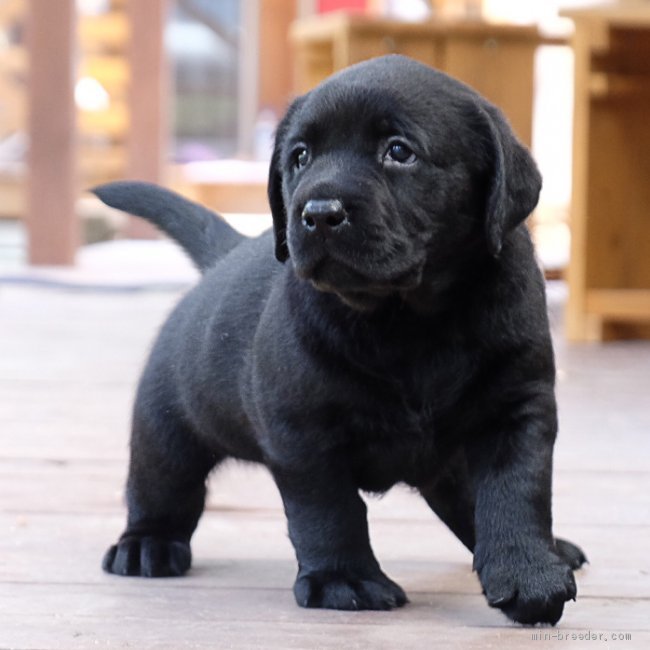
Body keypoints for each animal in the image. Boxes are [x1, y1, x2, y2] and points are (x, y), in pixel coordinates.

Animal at [95, 54, 584, 624]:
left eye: (399, 151)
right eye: (300, 157)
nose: (319, 213)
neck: (409, 318)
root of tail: (224, 257)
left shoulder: (516, 408)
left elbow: (514, 493)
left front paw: (529, 571)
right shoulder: (303, 432)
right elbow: (330, 509)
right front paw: (343, 579)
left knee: (468, 504)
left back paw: (554, 548)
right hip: (167, 427)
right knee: (161, 488)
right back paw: (145, 545)